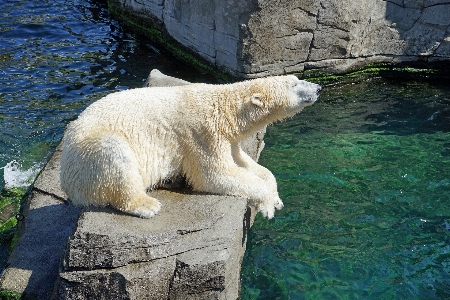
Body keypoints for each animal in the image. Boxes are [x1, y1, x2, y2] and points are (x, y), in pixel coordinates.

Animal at [60, 76, 320, 219]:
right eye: (294, 83)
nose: (318, 88)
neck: (224, 108)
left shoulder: (226, 139)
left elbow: (246, 164)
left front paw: (276, 198)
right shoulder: (202, 134)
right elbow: (214, 175)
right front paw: (267, 205)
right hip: (88, 154)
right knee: (115, 155)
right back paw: (147, 204)